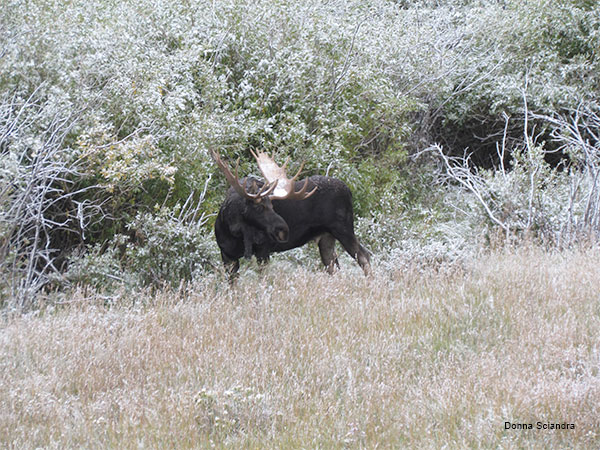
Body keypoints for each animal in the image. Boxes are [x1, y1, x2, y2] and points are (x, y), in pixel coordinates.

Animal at [211, 149, 370, 280]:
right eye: (259, 207)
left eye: (272, 205)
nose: (283, 229)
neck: (233, 231)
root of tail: (349, 191)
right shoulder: (227, 255)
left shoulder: (263, 249)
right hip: (326, 237)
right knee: (333, 267)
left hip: (343, 229)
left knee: (364, 256)